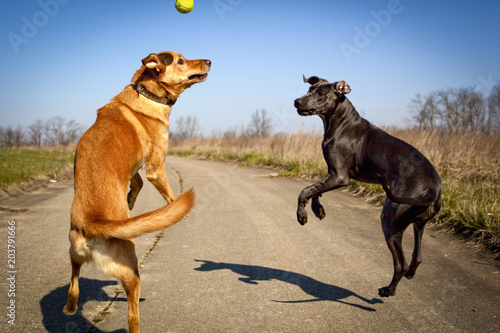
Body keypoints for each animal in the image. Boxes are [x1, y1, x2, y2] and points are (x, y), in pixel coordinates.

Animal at [63, 50, 211, 330]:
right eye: (180, 61)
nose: (209, 61)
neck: (148, 94)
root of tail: (93, 222)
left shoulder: (136, 167)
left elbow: (138, 183)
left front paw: (130, 199)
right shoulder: (156, 166)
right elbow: (170, 195)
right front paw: (178, 211)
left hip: (74, 253)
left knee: (74, 283)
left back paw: (70, 307)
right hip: (131, 269)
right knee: (132, 314)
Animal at [292, 76, 442, 296]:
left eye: (320, 94)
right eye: (309, 89)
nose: (296, 101)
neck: (340, 122)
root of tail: (435, 189)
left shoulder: (339, 177)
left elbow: (305, 191)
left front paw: (302, 216)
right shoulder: (333, 173)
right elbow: (315, 190)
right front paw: (318, 210)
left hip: (390, 219)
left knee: (401, 264)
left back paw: (388, 290)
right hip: (419, 222)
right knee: (417, 257)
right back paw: (408, 276)